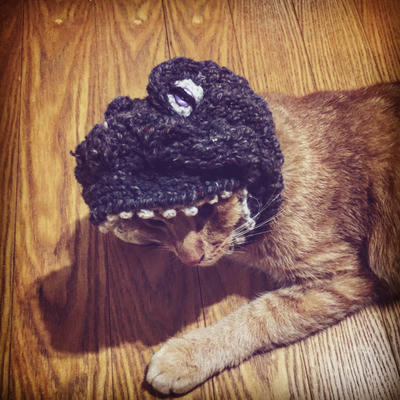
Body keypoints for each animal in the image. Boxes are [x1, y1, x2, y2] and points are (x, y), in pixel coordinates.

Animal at [109, 82, 400, 394]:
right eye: (155, 221)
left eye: (208, 209)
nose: (191, 260)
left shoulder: (345, 276)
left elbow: (258, 317)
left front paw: (189, 355)